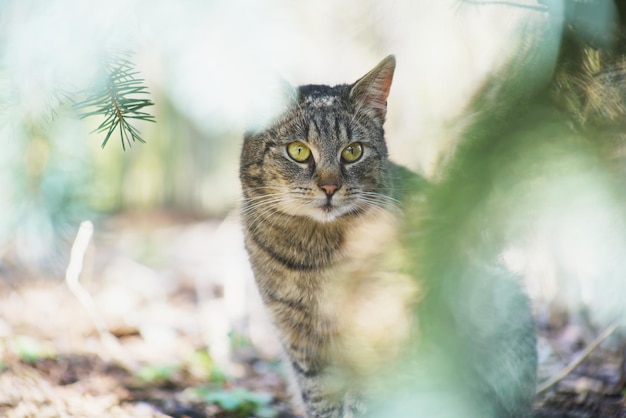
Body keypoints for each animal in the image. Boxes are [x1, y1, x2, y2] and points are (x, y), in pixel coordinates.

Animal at [239, 55, 536, 418]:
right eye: (298, 151)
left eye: (353, 151)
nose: (329, 187)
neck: (321, 255)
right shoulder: (303, 342)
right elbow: (321, 402)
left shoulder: (387, 330)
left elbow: (365, 401)